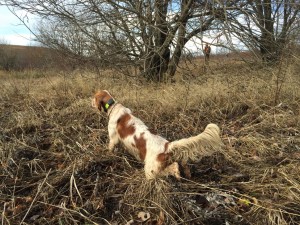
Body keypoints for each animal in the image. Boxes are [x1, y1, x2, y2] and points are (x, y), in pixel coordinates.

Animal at [92, 89, 223, 179]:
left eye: (94, 98)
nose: (90, 101)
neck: (113, 107)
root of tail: (167, 146)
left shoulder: (113, 139)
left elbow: (110, 148)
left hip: (150, 170)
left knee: (171, 169)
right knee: (181, 165)